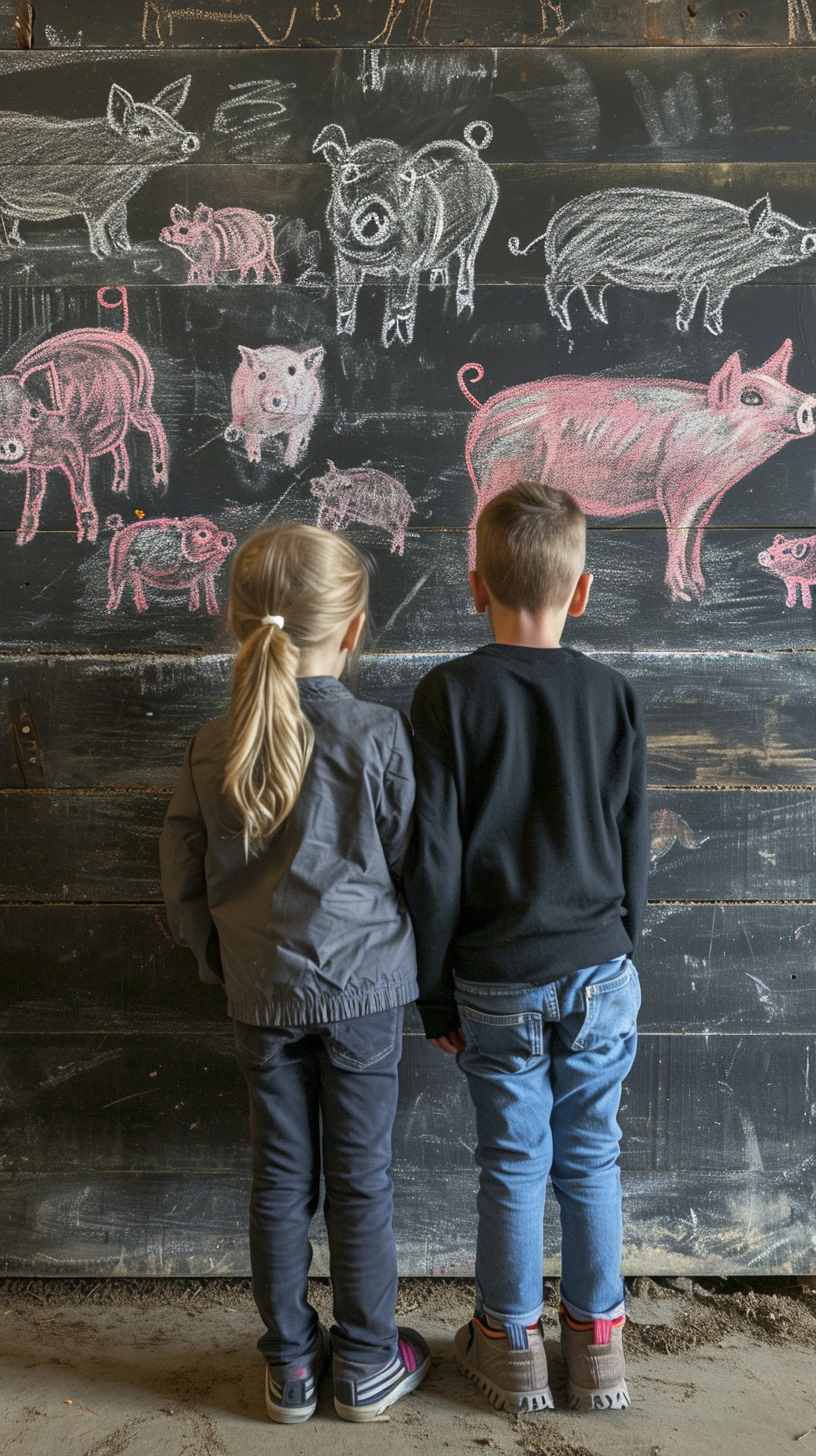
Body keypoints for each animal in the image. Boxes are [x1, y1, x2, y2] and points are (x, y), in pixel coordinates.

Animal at [105, 512, 236, 614]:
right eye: (202, 534)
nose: (227, 538)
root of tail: (119, 531)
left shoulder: (206, 574)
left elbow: (202, 589)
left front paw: (203, 610)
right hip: (121, 566)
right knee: (121, 585)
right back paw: (124, 609)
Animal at [460, 343, 816, 599]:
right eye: (751, 397)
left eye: (785, 385)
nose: (808, 403)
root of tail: (483, 411)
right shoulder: (675, 488)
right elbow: (678, 534)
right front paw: (685, 597)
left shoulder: (707, 496)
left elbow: (694, 537)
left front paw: (703, 589)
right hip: (500, 474)